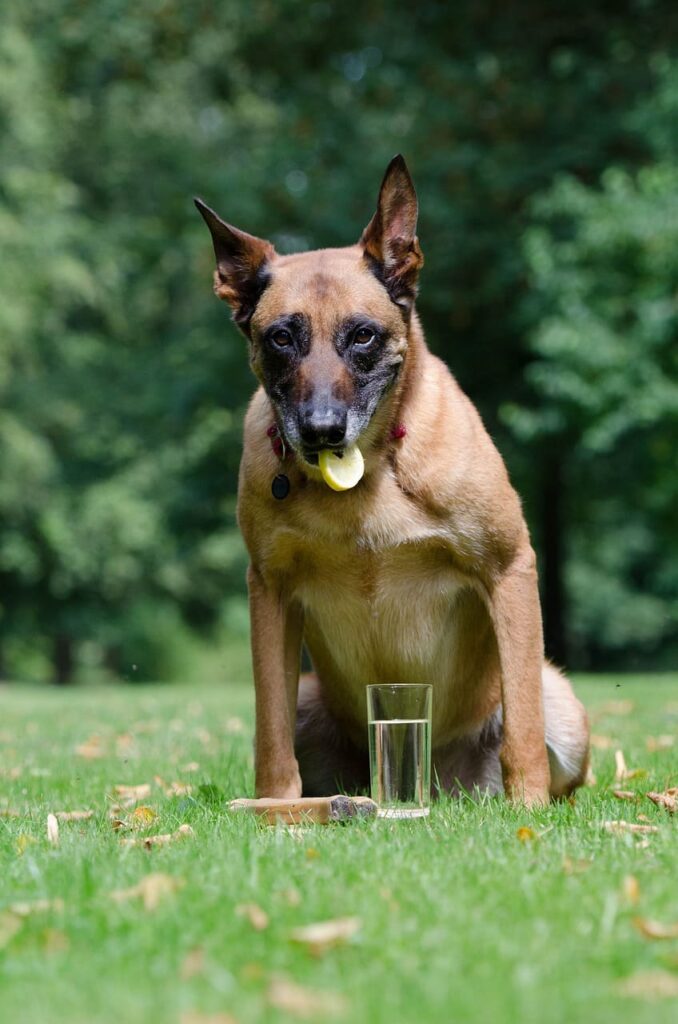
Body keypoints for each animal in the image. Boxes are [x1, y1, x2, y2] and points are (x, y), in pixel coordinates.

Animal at [195, 155, 589, 802]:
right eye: (281, 337)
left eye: (362, 335)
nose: (321, 430)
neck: (366, 485)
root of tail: (434, 783)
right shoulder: (269, 592)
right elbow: (270, 736)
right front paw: (273, 807)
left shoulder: (510, 567)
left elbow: (523, 727)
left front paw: (527, 804)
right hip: (309, 698)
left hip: (565, 708)